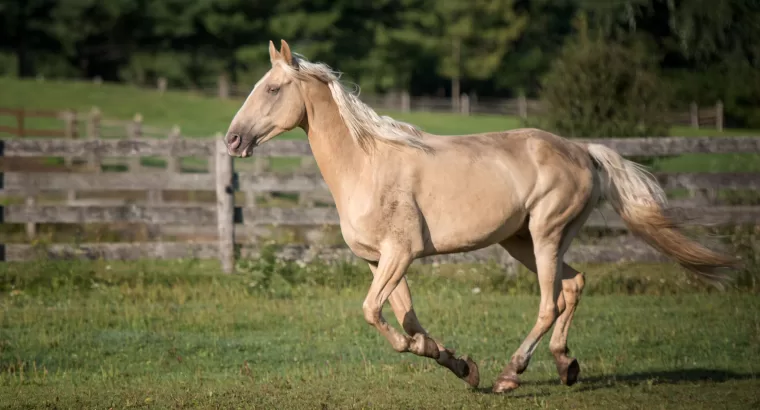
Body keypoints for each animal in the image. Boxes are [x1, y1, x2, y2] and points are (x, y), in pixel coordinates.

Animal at [223, 39, 740, 394]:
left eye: (272, 89)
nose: (232, 139)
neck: (366, 164)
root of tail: (583, 151)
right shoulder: (379, 261)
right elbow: (407, 319)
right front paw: (458, 364)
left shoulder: (400, 253)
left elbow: (376, 314)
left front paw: (452, 362)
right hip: (521, 240)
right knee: (574, 285)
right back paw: (564, 366)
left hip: (546, 233)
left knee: (550, 301)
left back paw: (511, 374)